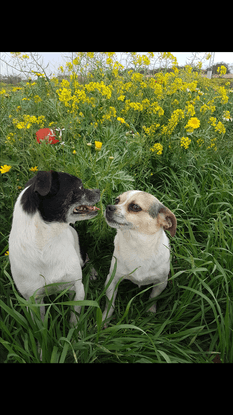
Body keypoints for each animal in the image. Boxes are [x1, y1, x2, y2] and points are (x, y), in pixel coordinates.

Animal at [8, 170, 99, 324]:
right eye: (80, 187)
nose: (98, 190)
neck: (45, 243)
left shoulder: (77, 288)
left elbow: (75, 317)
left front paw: (75, 330)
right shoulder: (33, 300)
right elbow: (40, 324)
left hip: (80, 254)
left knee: (86, 259)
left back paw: (92, 272)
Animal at [102, 190, 177, 324]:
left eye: (135, 207)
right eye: (117, 200)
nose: (108, 207)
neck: (137, 245)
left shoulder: (161, 282)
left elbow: (153, 298)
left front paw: (150, 312)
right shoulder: (112, 279)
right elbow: (110, 303)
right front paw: (105, 319)